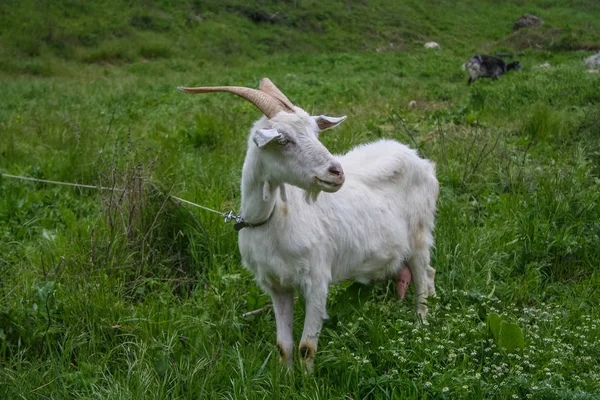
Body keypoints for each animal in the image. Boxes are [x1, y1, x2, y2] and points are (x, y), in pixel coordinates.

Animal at [176, 78, 438, 372]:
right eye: (283, 139)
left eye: (316, 132)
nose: (336, 172)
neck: (270, 219)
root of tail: (419, 159)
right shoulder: (276, 285)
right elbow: (283, 346)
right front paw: (286, 377)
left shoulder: (317, 279)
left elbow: (305, 348)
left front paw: (307, 378)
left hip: (420, 233)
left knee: (423, 274)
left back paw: (421, 324)